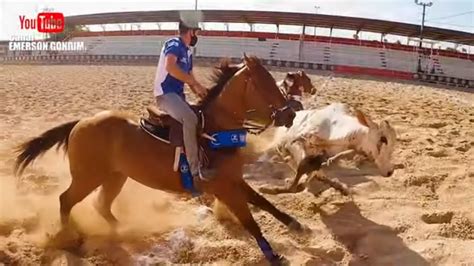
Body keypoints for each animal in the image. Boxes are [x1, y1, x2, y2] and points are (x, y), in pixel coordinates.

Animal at [16, 55, 302, 264]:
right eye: (265, 84)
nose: (290, 115)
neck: (215, 131)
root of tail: (80, 123)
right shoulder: (224, 188)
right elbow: (250, 222)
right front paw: (273, 255)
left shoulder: (235, 180)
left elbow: (265, 203)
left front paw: (295, 224)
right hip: (88, 177)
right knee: (66, 200)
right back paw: (69, 239)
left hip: (115, 177)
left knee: (102, 205)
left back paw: (123, 229)